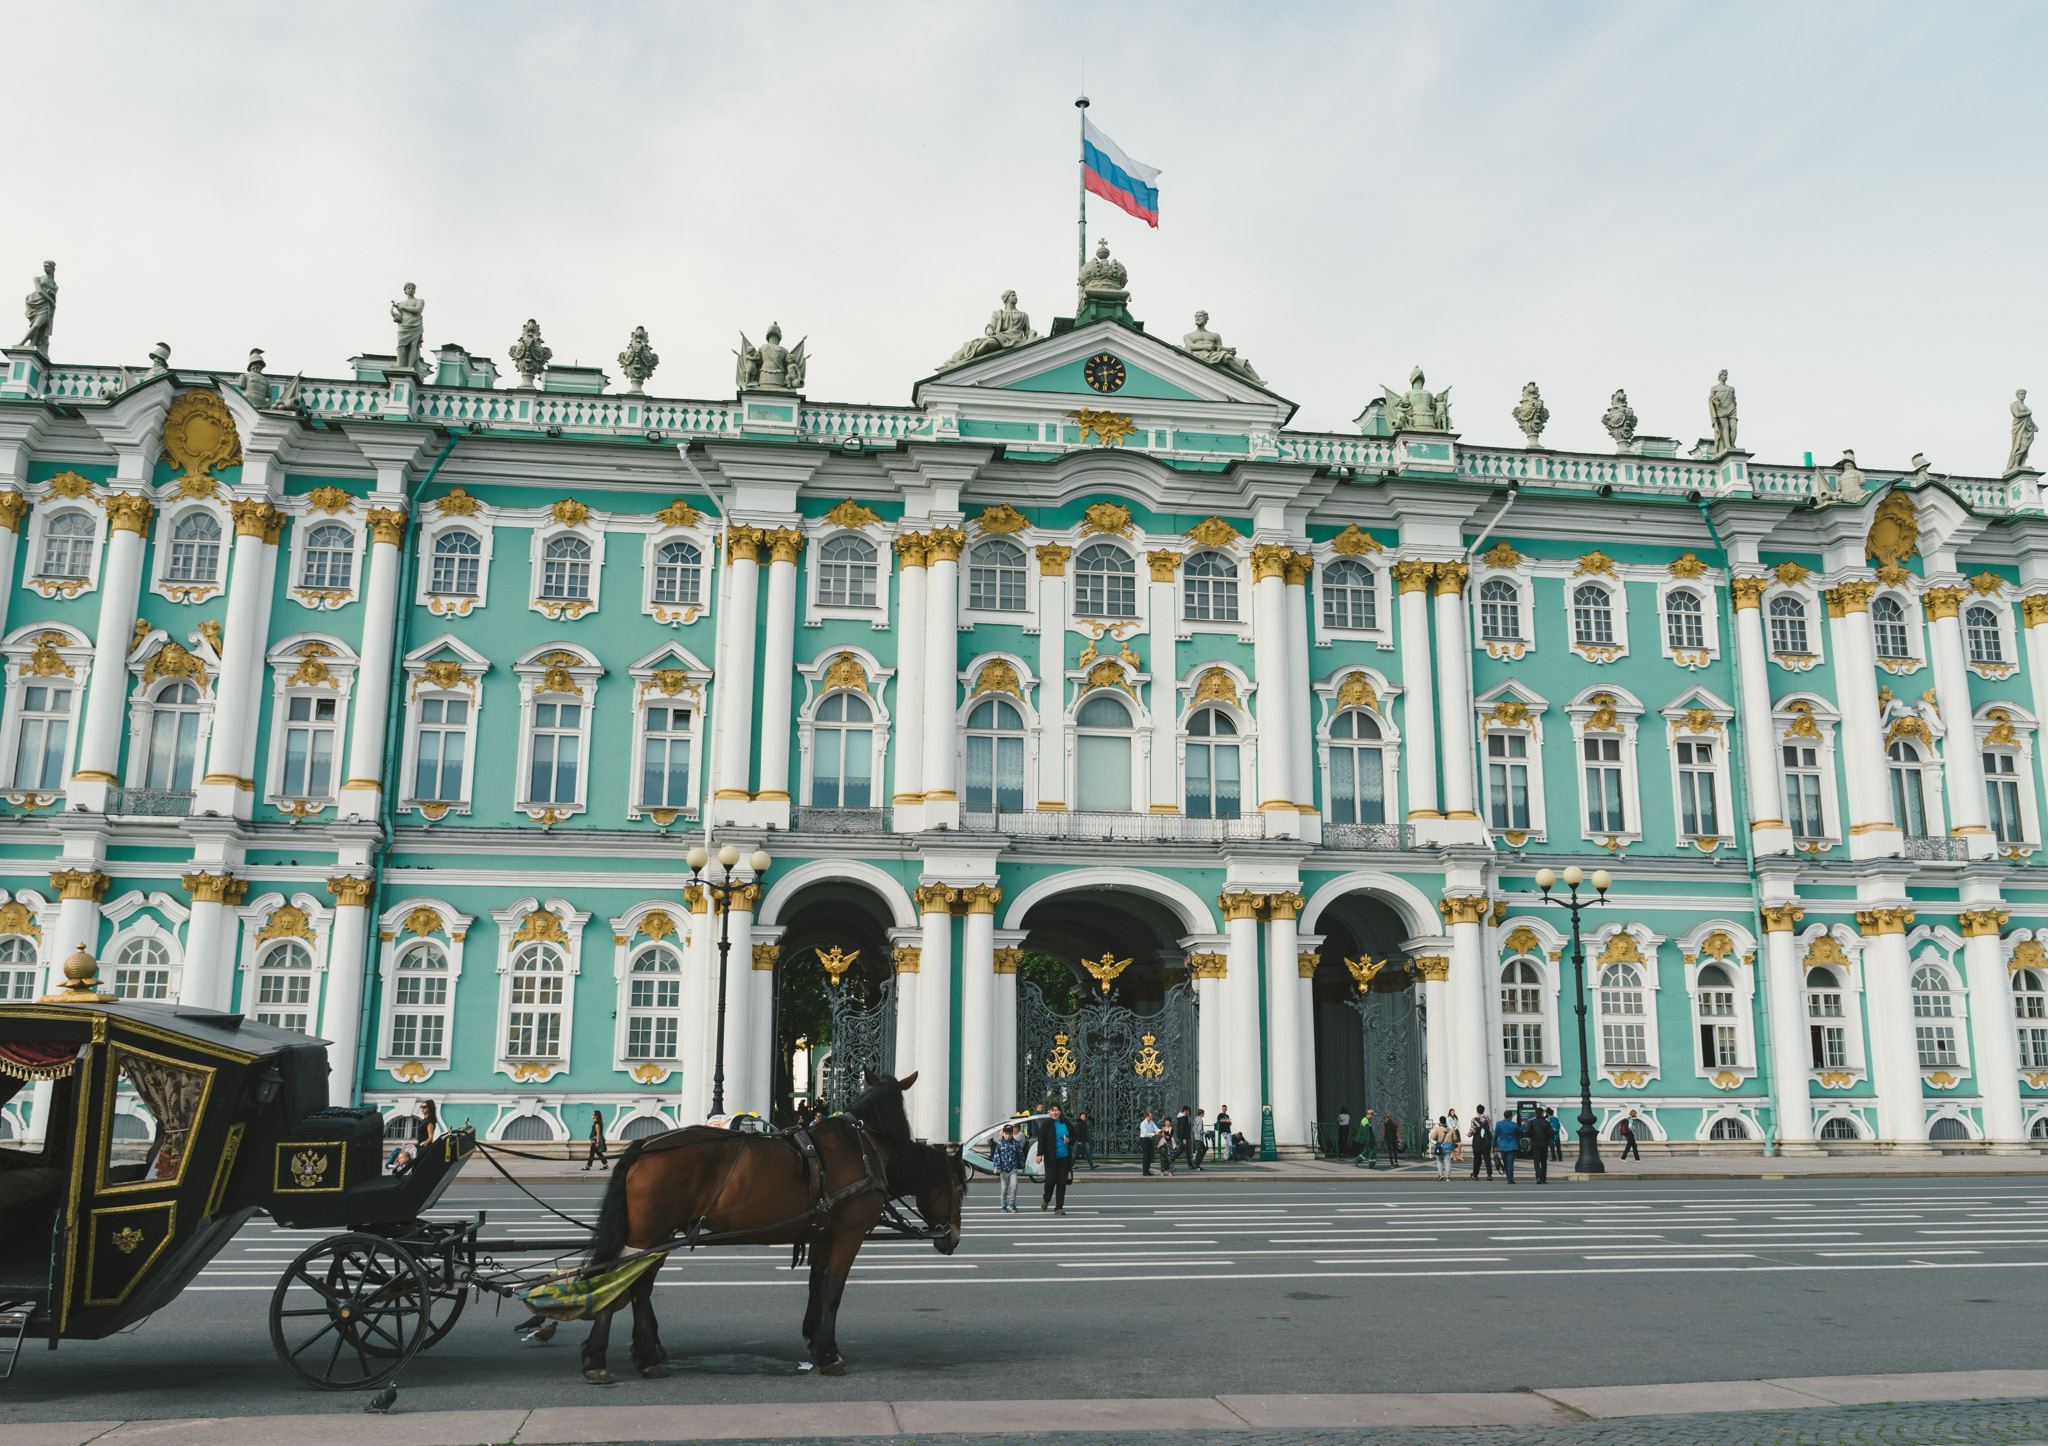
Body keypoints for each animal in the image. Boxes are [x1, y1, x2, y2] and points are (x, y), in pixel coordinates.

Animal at [577, 1065, 958, 1376]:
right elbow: (832, 1290)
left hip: (656, 1234)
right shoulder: (849, 1235)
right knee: (622, 1282)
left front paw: (814, 1341)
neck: (864, 1147)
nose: (952, 1238)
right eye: (960, 1184)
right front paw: (829, 1354)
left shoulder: (823, 1234)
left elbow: (816, 1285)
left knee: (633, 1285)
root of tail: (645, 1144)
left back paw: (643, 1355)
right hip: (650, 1234)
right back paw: (604, 1359)